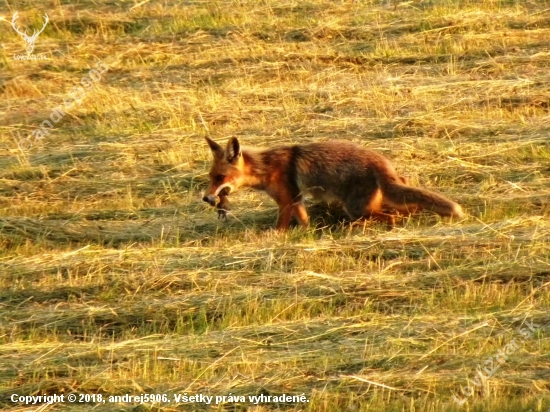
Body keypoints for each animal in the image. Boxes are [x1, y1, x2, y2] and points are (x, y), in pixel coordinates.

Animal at [203, 138, 466, 229]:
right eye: (211, 176)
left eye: (220, 178)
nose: (206, 198)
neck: (266, 167)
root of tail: (381, 162)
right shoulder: (297, 200)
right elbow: (305, 223)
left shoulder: (286, 200)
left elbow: (280, 227)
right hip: (380, 200)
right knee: (407, 205)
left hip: (356, 208)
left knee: (389, 218)